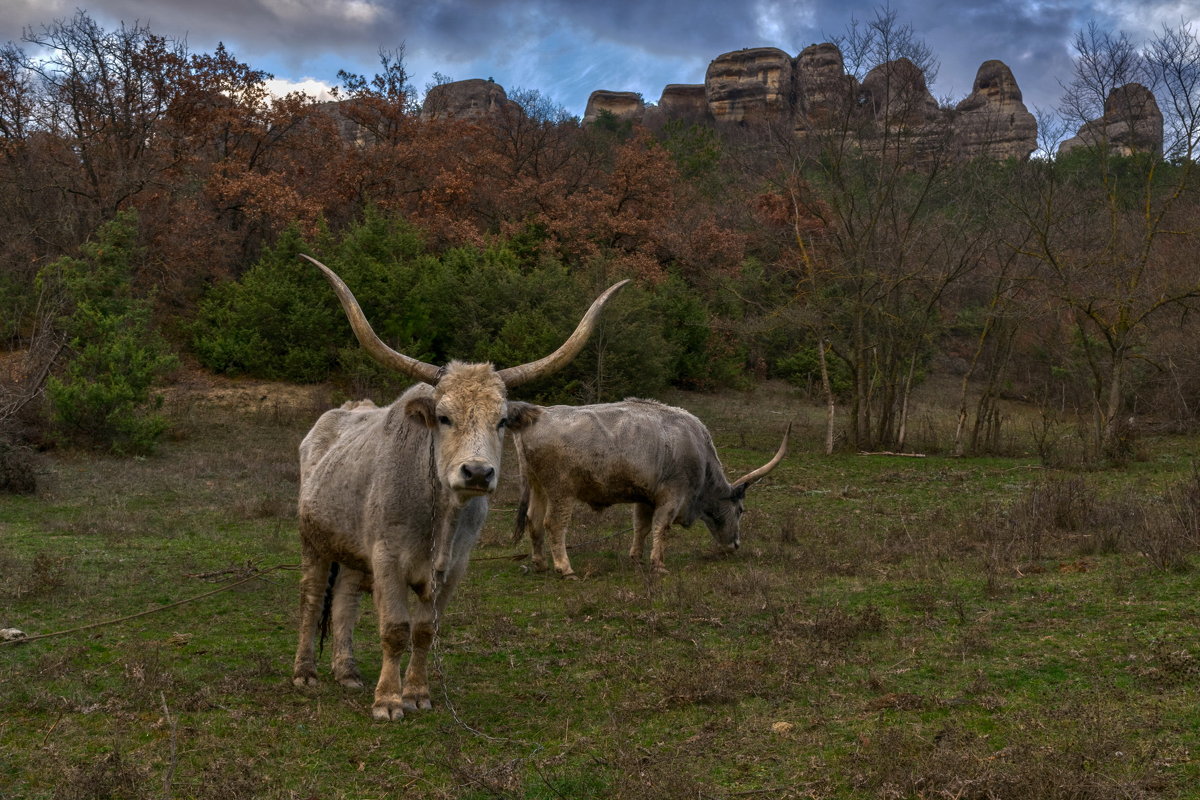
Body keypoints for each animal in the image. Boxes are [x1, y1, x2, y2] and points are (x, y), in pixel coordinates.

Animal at [292, 253, 628, 724]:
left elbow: (423, 631)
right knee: (310, 598)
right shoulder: (388, 557)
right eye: (444, 417)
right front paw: (388, 701)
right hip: (313, 541)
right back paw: (305, 672)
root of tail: (336, 416)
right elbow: (394, 629)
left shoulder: (452, 568)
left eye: (502, 420)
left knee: (344, 601)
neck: (442, 515)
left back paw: (347, 672)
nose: (477, 473)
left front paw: (416, 693)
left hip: (353, 549)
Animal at [513, 398, 787, 575]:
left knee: (533, 521)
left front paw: (636, 559)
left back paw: (540, 563)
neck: (698, 449)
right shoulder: (672, 496)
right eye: (740, 510)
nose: (736, 545)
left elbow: (641, 527)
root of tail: (539, 414)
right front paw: (658, 564)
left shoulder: (645, 498)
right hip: (561, 491)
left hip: (538, 487)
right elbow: (661, 527)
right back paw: (564, 567)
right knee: (553, 524)